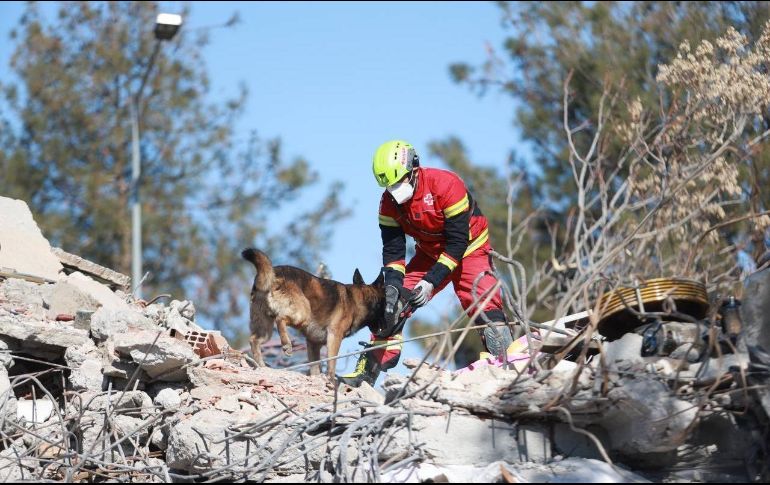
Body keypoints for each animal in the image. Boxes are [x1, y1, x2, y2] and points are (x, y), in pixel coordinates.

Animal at [240, 246, 384, 378]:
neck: (358, 299)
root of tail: (274, 272)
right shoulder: (334, 336)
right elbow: (332, 364)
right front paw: (331, 381)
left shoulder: (313, 344)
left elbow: (315, 367)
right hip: (302, 314)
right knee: (280, 319)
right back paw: (287, 344)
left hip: (265, 329)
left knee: (254, 340)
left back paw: (261, 366)